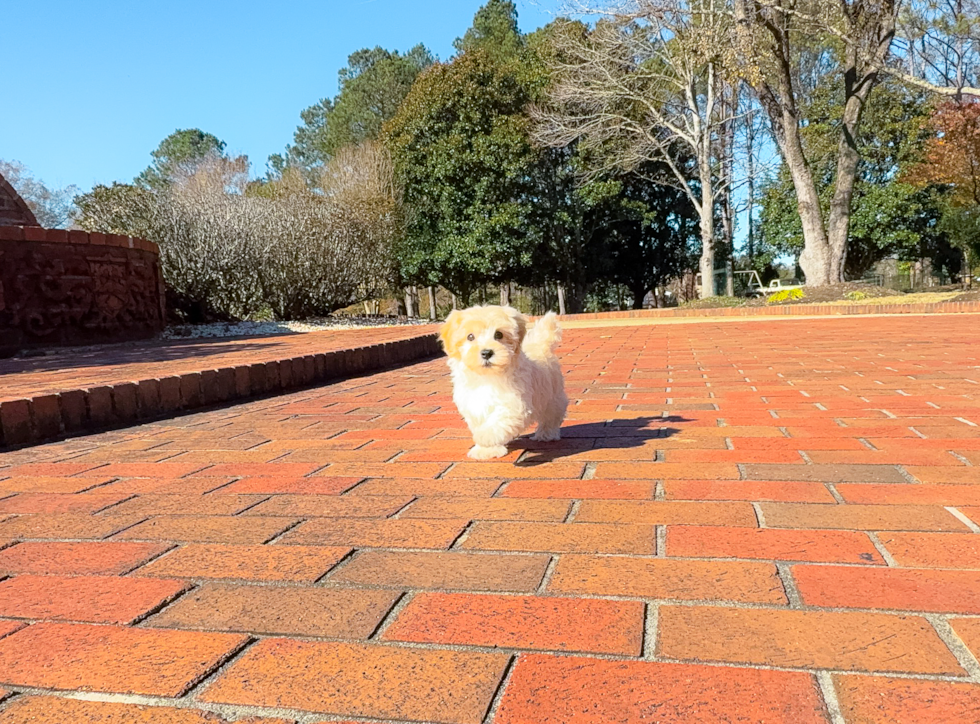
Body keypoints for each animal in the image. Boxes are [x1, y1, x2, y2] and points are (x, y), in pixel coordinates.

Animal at [438, 304, 568, 458]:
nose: (486, 353)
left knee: (551, 417)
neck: (487, 377)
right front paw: (486, 450)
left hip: (552, 397)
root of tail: (539, 346)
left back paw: (546, 434)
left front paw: (484, 437)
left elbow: (498, 422)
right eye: (470, 337)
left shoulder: (514, 404)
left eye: (498, 334)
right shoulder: (473, 405)